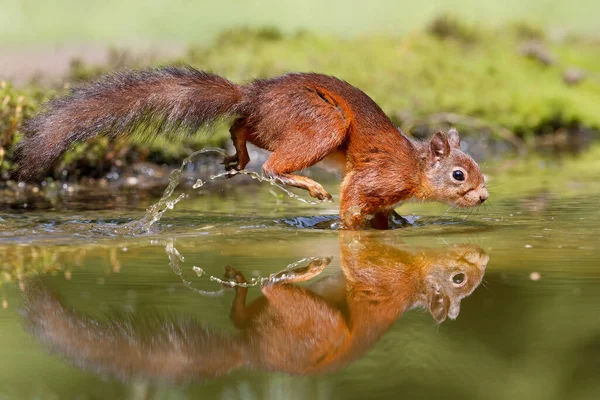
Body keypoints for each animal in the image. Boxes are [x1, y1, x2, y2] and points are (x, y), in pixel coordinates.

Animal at [17, 66, 488, 228]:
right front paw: (353, 228)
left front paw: (397, 224)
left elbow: (386, 213)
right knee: (272, 167)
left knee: (240, 126)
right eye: (459, 174)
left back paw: (239, 153)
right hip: (321, 125)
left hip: (274, 125)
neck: (416, 166)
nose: (484, 196)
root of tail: (254, 95)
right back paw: (306, 185)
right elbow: (354, 200)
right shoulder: (378, 176)